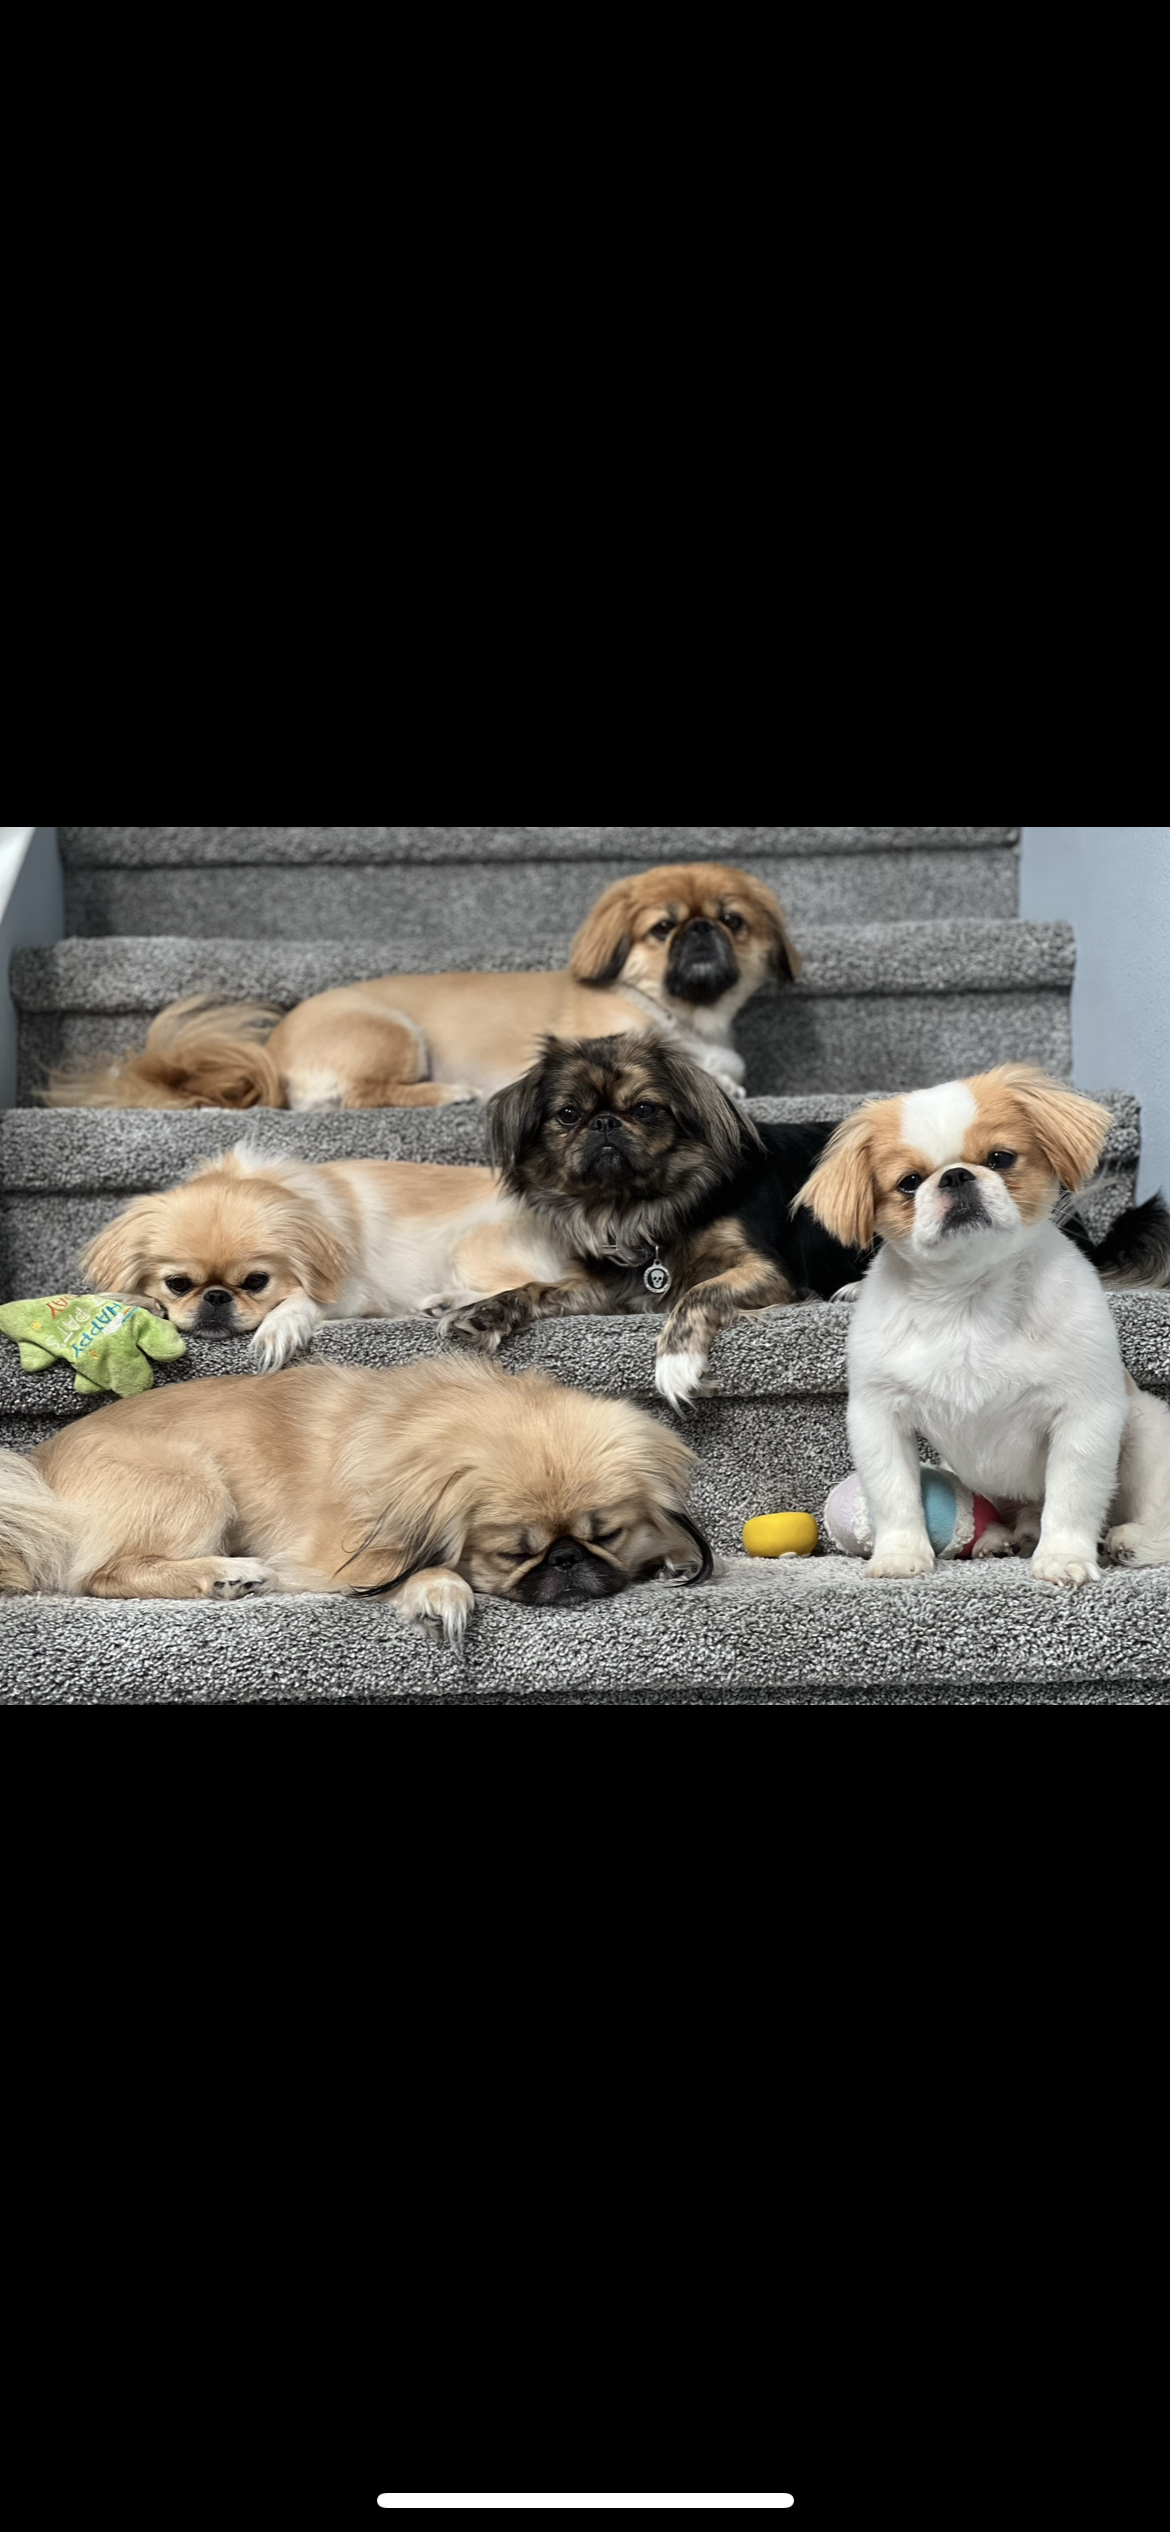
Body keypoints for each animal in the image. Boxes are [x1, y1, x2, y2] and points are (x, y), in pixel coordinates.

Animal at [0, 1357, 714, 1637]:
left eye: (606, 1535)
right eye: (513, 1553)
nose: (566, 1561)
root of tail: (37, 1466)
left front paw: (671, 1557)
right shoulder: (338, 1554)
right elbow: (419, 1570)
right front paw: (439, 1590)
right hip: (193, 1481)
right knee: (101, 1575)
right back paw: (226, 1575)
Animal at [42, 862, 801, 1111]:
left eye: (732, 921)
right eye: (661, 928)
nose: (700, 933)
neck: (684, 1015)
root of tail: (275, 1053)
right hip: (396, 1034)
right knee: (363, 1097)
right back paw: (450, 1092)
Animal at [78, 1145, 575, 1371]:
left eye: (256, 1282)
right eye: (178, 1284)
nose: (216, 1298)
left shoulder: (353, 1293)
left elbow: (303, 1301)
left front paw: (280, 1326)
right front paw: (135, 1302)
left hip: (473, 1245)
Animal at [440, 1034, 868, 1410]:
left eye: (644, 1109)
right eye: (568, 1115)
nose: (605, 1123)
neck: (635, 1207)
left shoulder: (770, 1271)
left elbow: (698, 1292)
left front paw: (676, 1362)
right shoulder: (606, 1289)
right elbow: (537, 1288)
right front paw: (485, 1311)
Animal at [796, 1064, 1170, 1586]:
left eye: (1000, 1158)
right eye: (909, 1182)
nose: (955, 1175)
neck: (969, 1301)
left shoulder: (1085, 1415)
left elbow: (1073, 1496)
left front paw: (1064, 1557)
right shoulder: (879, 1417)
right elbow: (894, 1496)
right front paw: (900, 1555)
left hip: (1145, 1432)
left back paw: (1128, 1540)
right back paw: (1000, 1537)